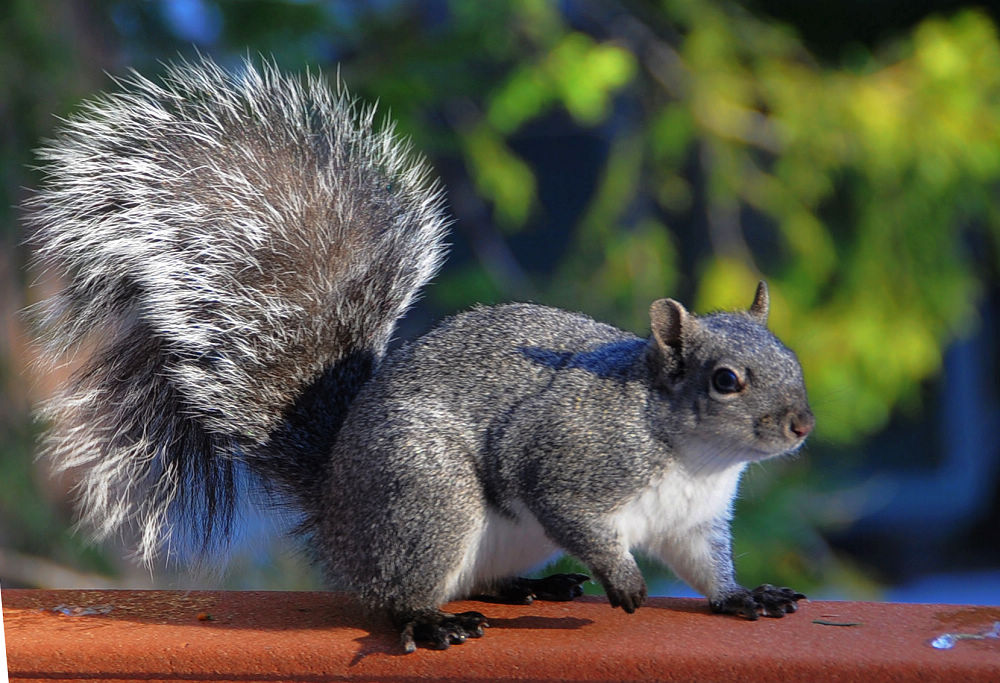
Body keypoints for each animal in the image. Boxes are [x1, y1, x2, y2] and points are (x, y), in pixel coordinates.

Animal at [27, 57, 816, 652]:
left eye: (791, 358)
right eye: (725, 380)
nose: (802, 424)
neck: (692, 455)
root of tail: (335, 512)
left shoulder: (695, 522)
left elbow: (708, 571)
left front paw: (744, 596)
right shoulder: (572, 456)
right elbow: (567, 508)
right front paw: (624, 581)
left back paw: (532, 585)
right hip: (427, 498)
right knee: (394, 594)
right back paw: (433, 621)